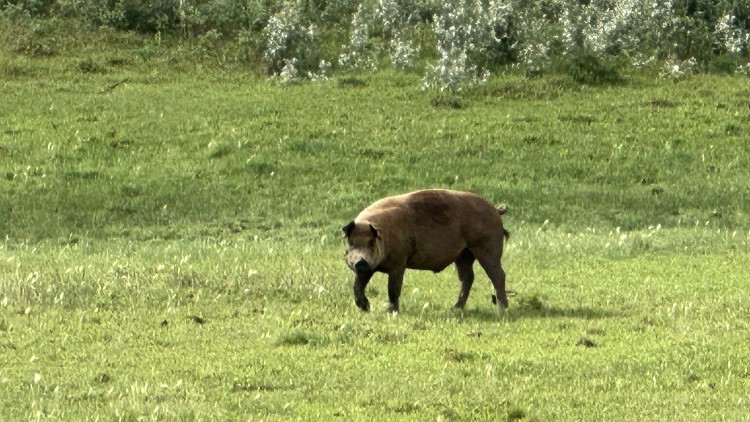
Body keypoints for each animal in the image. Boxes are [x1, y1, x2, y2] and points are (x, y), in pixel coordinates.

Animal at [343, 189, 509, 312]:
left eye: (370, 242)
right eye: (351, 243)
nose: (360, 262)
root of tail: (495, 209)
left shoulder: (399, 263)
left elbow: (393, 289)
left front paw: (391, 312)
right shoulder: (367, 269)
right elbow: (357, 286)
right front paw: (365, 308)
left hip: (487, 247)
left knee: (498, 275)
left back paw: (502, 309)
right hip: (463, 254)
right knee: (467, 277)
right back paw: (454, 308)